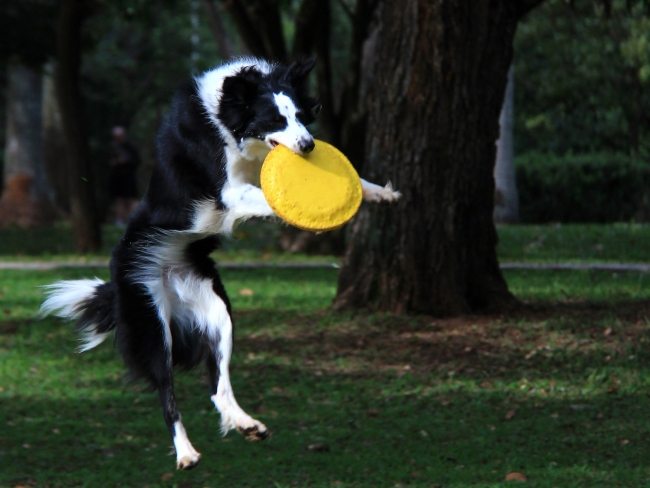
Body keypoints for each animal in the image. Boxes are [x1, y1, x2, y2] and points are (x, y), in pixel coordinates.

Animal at [41, 57, 400, 468]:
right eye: (275, 119)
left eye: (300, 115)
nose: (309, 145)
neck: (228, 118)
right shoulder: (228, 190)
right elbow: (267, 197)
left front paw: (379, 193)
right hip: (151, 320)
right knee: (167, 394)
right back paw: (186, 452)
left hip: (216, 313)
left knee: (217, 385)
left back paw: (246, 424)